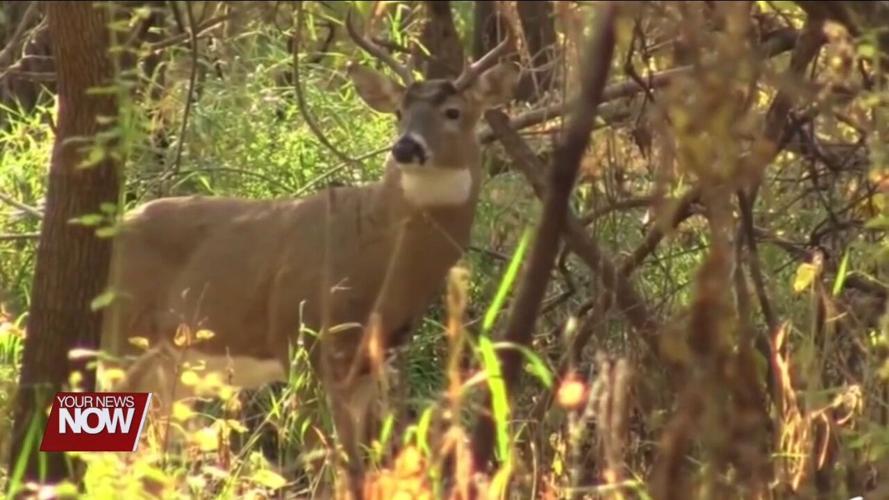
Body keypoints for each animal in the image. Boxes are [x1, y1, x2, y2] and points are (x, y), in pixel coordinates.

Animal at [97, 14, 518, 475]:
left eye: (453, 112)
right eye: (399, 113)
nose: (406, 147)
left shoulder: (366, 367)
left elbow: (357, 461)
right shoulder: (300, 339)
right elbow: (328, 460)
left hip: (175, 369)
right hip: (120, 339)